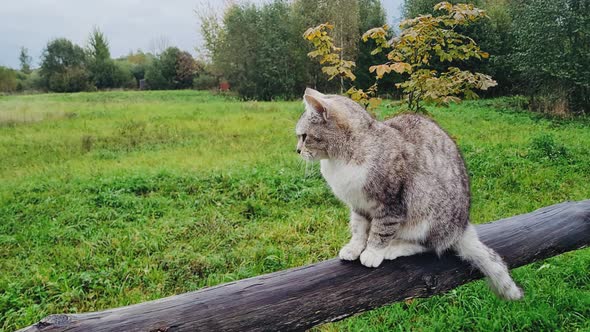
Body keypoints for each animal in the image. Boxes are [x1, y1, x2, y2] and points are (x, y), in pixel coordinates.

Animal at [298, 87, 524, 300]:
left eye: (304, 136)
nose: (297, 150)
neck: (340, 159)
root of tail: (462, 228)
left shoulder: (391, 203)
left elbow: (380, 231)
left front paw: (372, 252)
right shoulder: (359, 204)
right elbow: (359, 228)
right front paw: (354, 248)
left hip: (427, 212)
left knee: (430, 246)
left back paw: (395, 247)